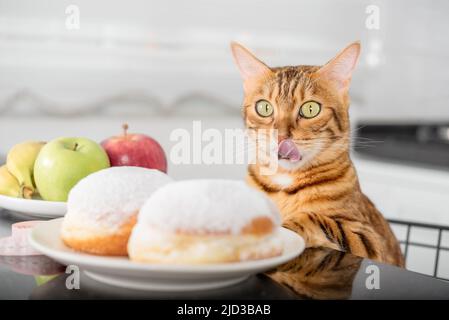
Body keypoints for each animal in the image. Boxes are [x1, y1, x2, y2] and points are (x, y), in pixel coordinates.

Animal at [231, 41, 402, 266]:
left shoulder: (370, 240)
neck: (285, 183)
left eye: (310, 109)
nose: (281, 136)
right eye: (264, 107)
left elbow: (315, 219)